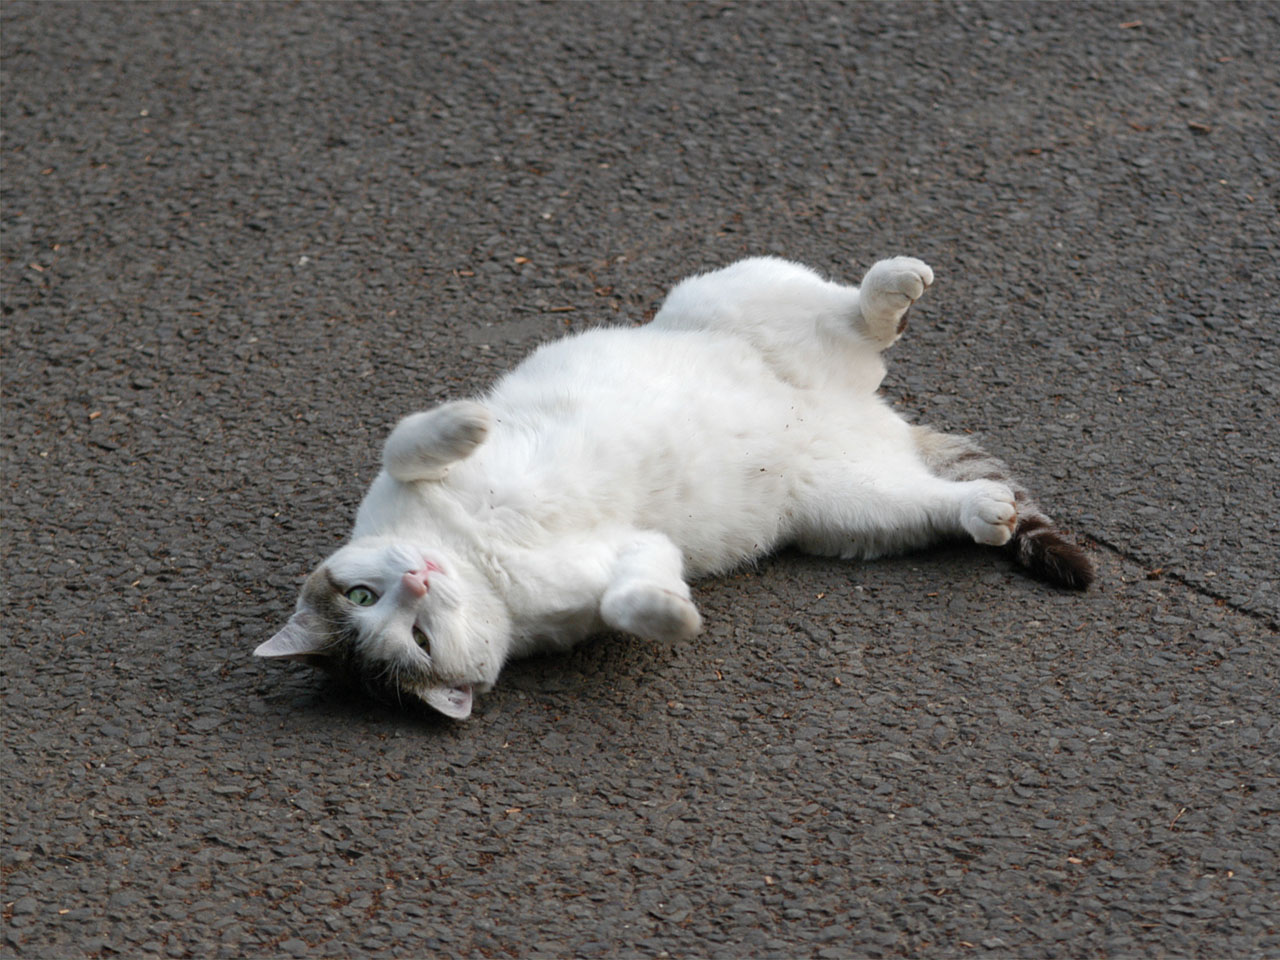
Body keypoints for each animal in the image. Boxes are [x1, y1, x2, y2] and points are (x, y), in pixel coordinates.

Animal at [257, 256, 1090, 721]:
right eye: (416, 642)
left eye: (362, 594)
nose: (421, 581)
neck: (473, 555)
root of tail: (863, 411)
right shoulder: (624, 561)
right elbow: (629, 601)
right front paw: (672, 617)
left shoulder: (392, 484)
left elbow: (403, 441)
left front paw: (467, 422)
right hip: (855, 509)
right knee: (936, 499)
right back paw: (984, 509)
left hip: (730, 294)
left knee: (854, 316)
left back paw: (890, 287)